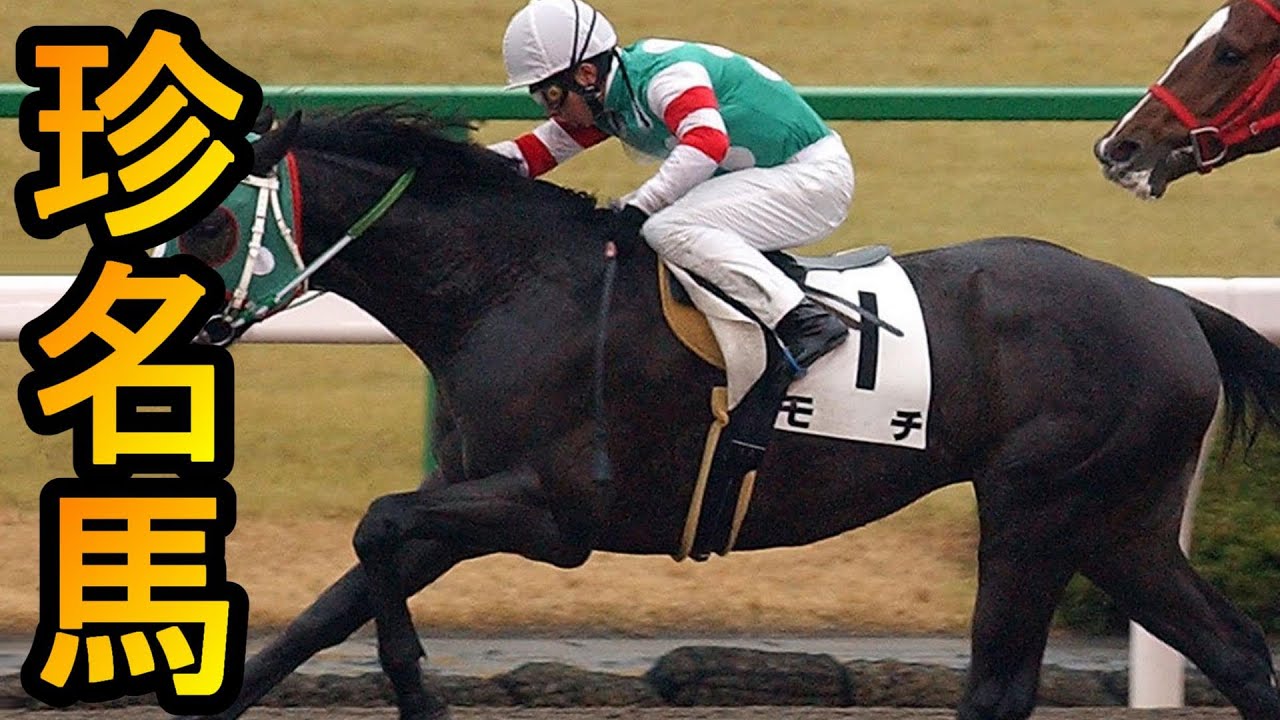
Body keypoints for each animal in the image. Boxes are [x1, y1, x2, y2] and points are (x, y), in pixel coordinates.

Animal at [174, 107, 1280, 720]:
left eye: (218, 221)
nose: (165, 330)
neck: (507, 289)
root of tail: (1171, 304)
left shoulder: (552, 513)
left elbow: (374, 525)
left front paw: (418, 691)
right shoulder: (466, 502)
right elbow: (325, 610)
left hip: (1038, 511)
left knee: (1000, 684)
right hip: (1117, 525)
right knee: (1236, 652)